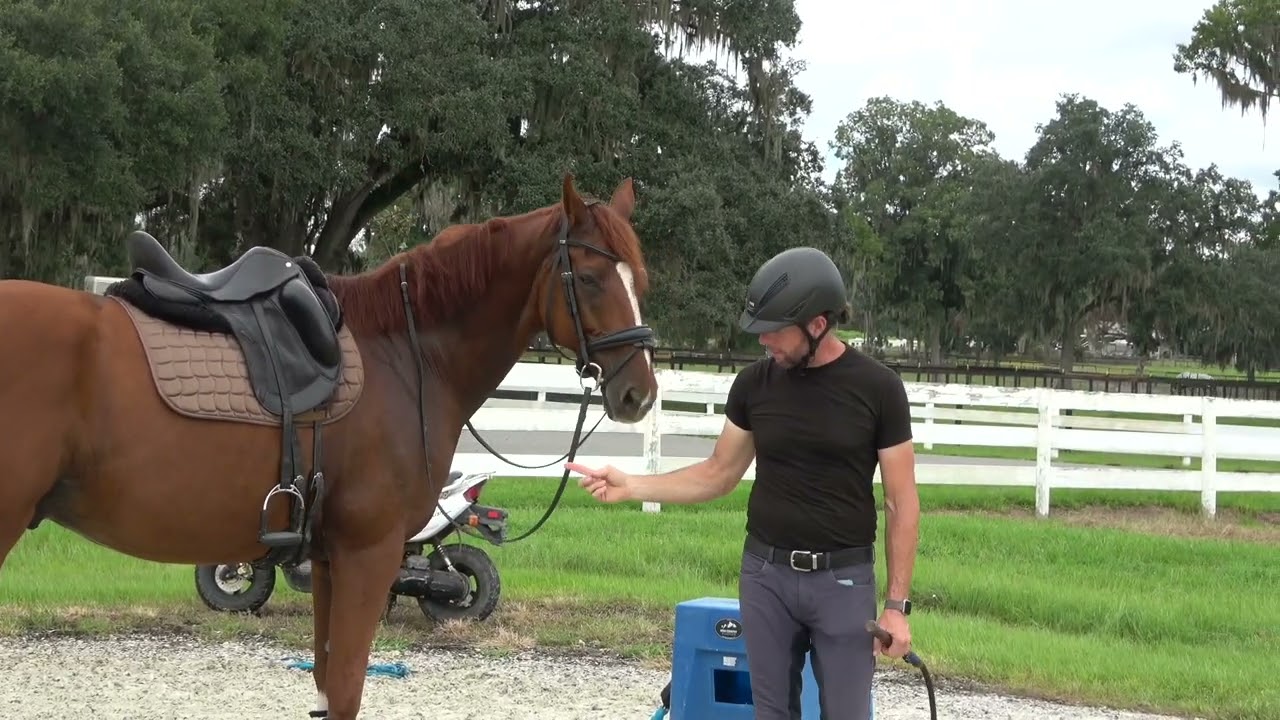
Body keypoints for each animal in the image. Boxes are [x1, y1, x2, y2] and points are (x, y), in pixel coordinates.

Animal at [0, 174, 659, 719]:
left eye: (642, 281)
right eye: (591, 278)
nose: (640, 393)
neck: (405, 355)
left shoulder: (325, 557)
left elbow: (322, 685)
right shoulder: (368, 553)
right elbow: (344, 690)